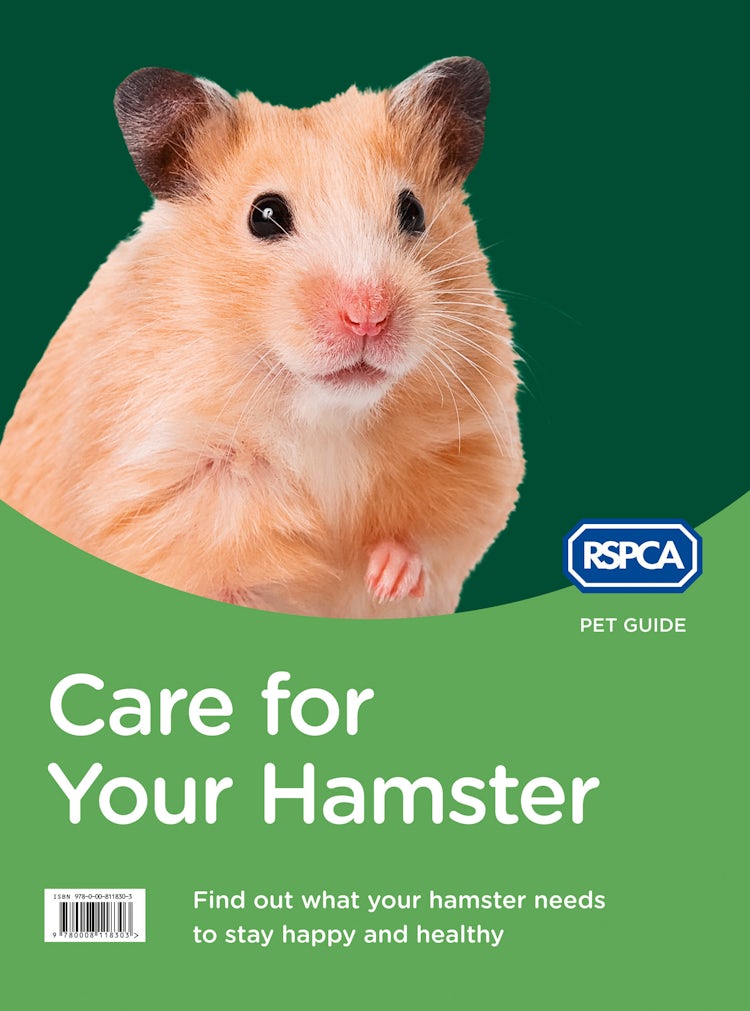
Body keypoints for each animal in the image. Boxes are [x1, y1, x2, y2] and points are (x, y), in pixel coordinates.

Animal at [0, 58, 524, 618]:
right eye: (265, 215)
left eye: (414, 212)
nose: (369, 317)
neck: (327, 416)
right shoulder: (163, 484)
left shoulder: (474, 444)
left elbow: (439, 529)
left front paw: (387, 579)